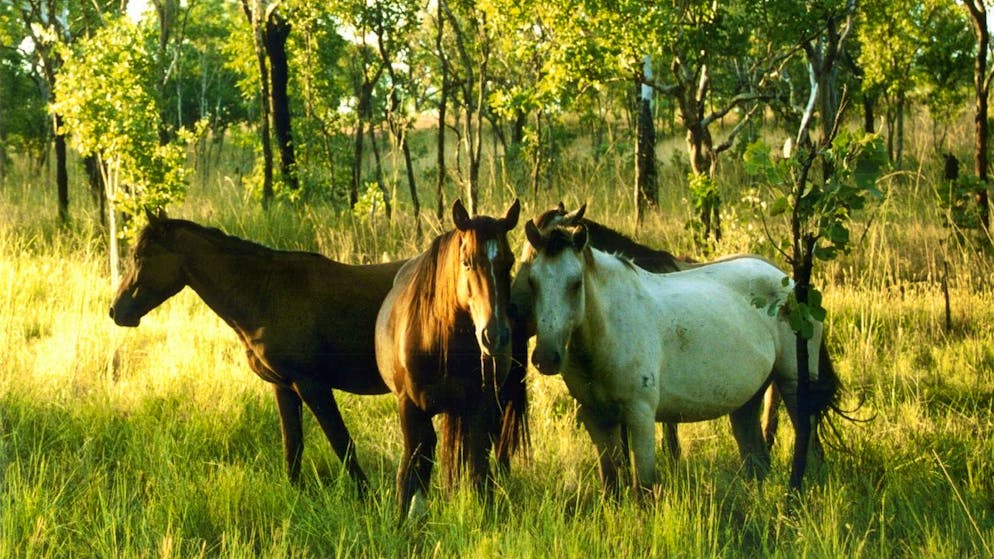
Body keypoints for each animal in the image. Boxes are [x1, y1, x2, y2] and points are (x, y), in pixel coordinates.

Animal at [109, 210, 407, 497]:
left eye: (139, 256)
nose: (116, 311)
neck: (264, 293)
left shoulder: (313, 385)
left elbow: (341, 443)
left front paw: (367, 497)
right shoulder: (284, 386)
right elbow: (292, 446)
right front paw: (294, 495)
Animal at [375, 199, 520, 521]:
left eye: (509, 262)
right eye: (466, 262)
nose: (495, 336)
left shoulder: (480, 407)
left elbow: (477, 466)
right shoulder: (410, 406)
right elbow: (413, 465)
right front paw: (406, 516)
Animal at [523, 219, 841, 496]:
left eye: (575, 283)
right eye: (532, 283)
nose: (546, 358)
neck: (609, 327)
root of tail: (793, 283)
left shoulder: (640, 415)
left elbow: (644, 489)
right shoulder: (596, 417)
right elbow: (611, 486)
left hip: (794, 383)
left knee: (809, 447)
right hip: (748, 401)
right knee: (758, 460)